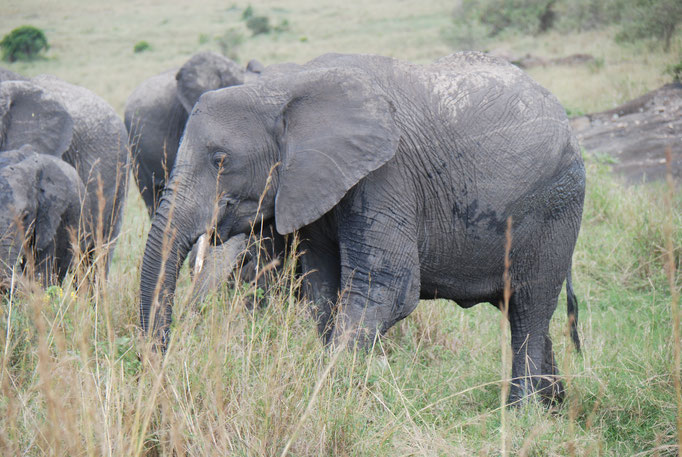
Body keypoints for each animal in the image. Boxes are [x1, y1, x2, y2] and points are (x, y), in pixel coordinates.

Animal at [139, 51, 584, 404]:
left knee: (529, 309)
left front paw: (324, 396)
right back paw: (554, 408)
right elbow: (323, 288)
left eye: (220, 160)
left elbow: (385, 290)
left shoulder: (387, 174)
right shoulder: (312, 185)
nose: (159, 368)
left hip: (556, 205)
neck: (284, 88)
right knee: (524, 312)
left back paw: (522, 413)